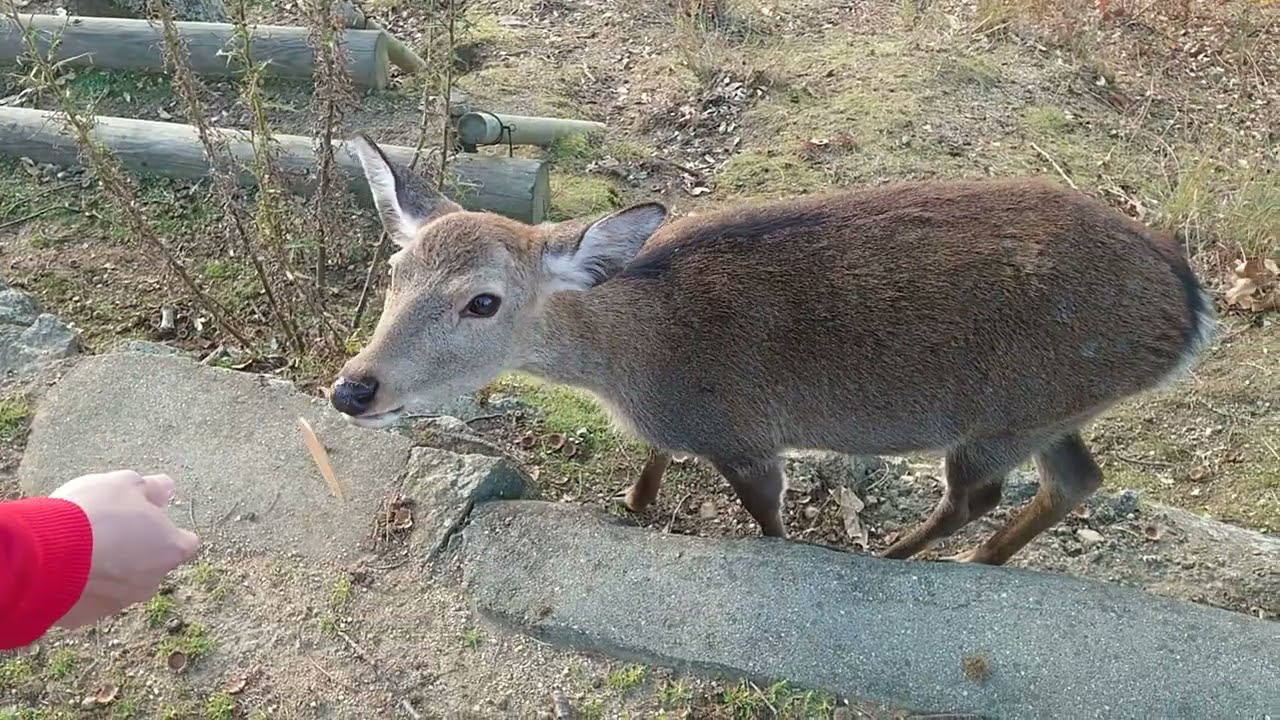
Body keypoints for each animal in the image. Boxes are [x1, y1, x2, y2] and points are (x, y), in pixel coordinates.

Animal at [329, 133, 1216, 566]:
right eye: (396, 267)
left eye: (484, 300)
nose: (352, 388)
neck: (637, 362)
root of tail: (1190, 310)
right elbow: (654, 459)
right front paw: (636, 503)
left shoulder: (746, 435)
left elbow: (766, 521)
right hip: (1055, 410)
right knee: (1077, 479)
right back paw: (979, 561)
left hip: (1006, 416)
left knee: (978, 495)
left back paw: (897, 554)